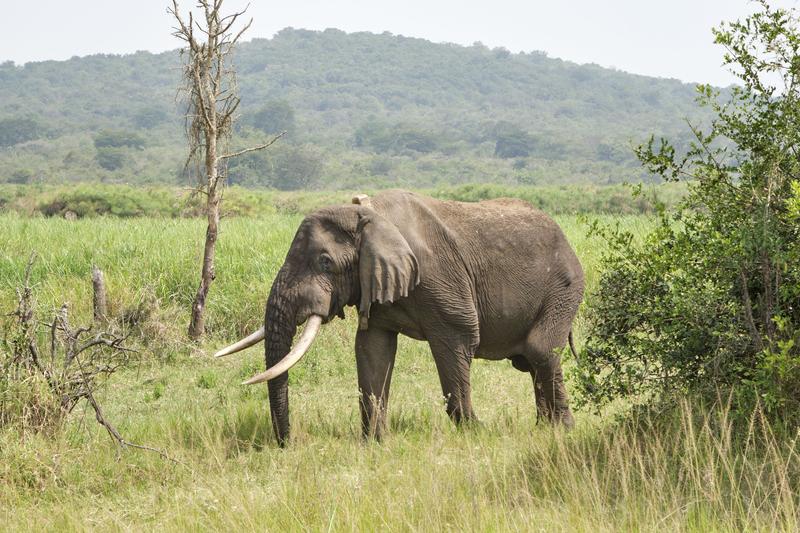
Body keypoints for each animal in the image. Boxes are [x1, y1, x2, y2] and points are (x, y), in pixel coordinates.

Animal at [216, 189, 584, 442]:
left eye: (325, 262)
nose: (286, 443)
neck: (367, 214)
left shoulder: (441, 279)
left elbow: (459, 338)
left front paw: (475, 432)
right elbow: (372, 350)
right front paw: (374, 443)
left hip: (565, 287)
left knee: (539, 350)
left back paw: (562, 431)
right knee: (530, 360)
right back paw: (544, 429)